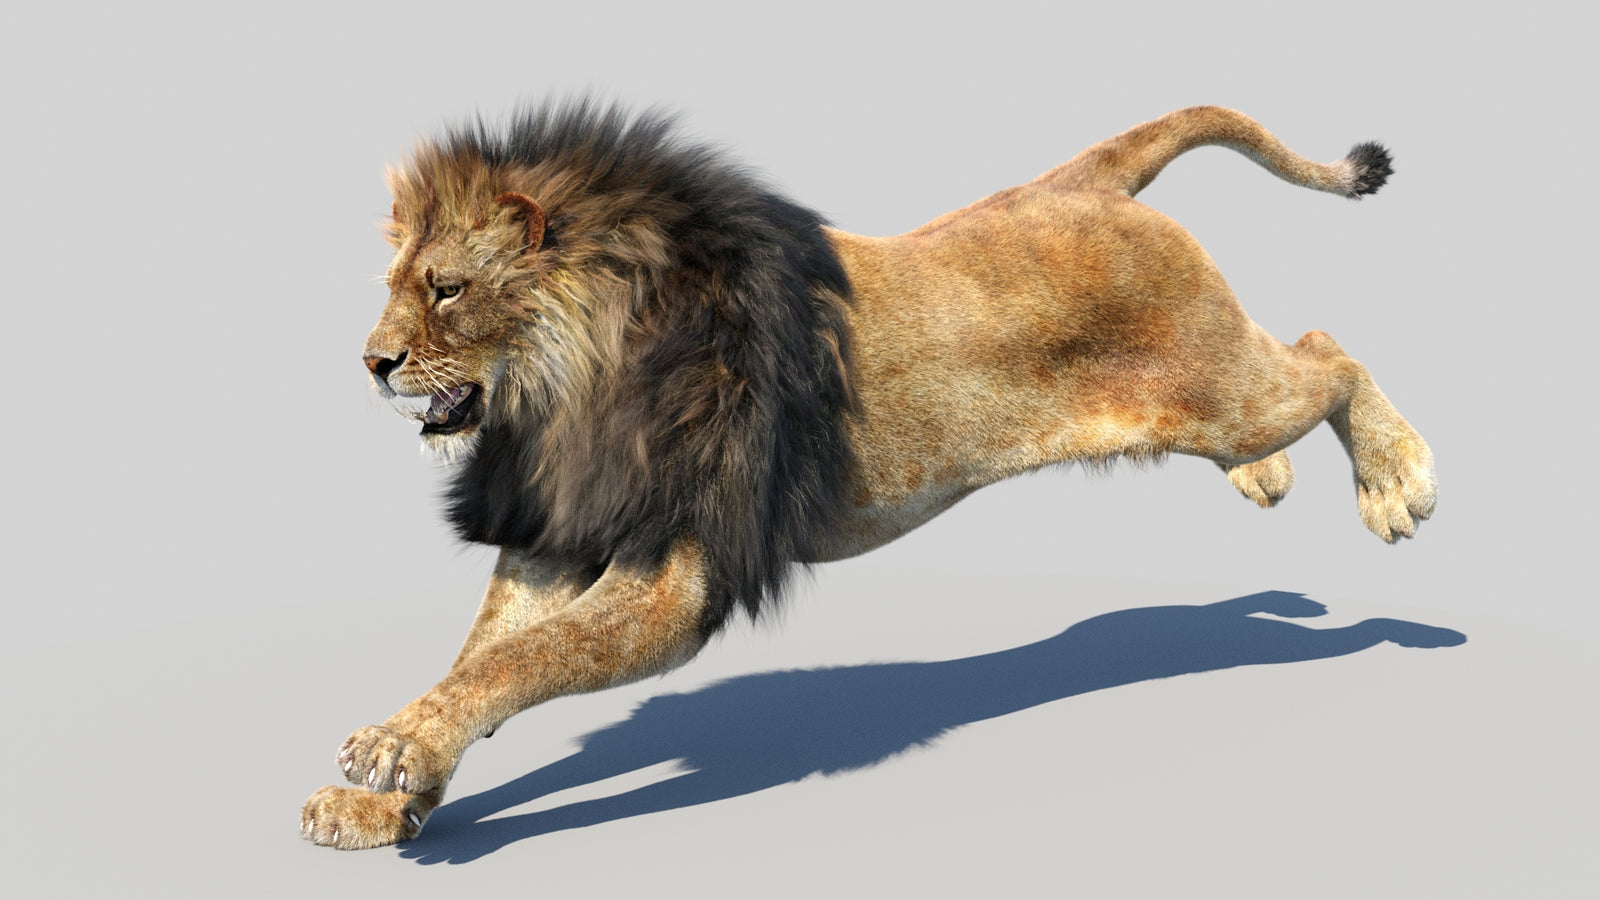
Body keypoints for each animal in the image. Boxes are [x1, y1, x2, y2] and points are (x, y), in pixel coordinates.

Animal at [302, 102, 1435, 848]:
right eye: (397, 285)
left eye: (446, 290)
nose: (371, 361)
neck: (565, 392)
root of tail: (1075, 183)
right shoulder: (552, 537)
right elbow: (481, 659)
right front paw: (384, 796)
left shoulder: (676, 571)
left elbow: (523, 662)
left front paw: (389, 757)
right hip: (1212, 405)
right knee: (1290, 375)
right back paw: (1267, 480)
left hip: (1223, 388)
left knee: (1328, 353)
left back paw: (1398, 485)